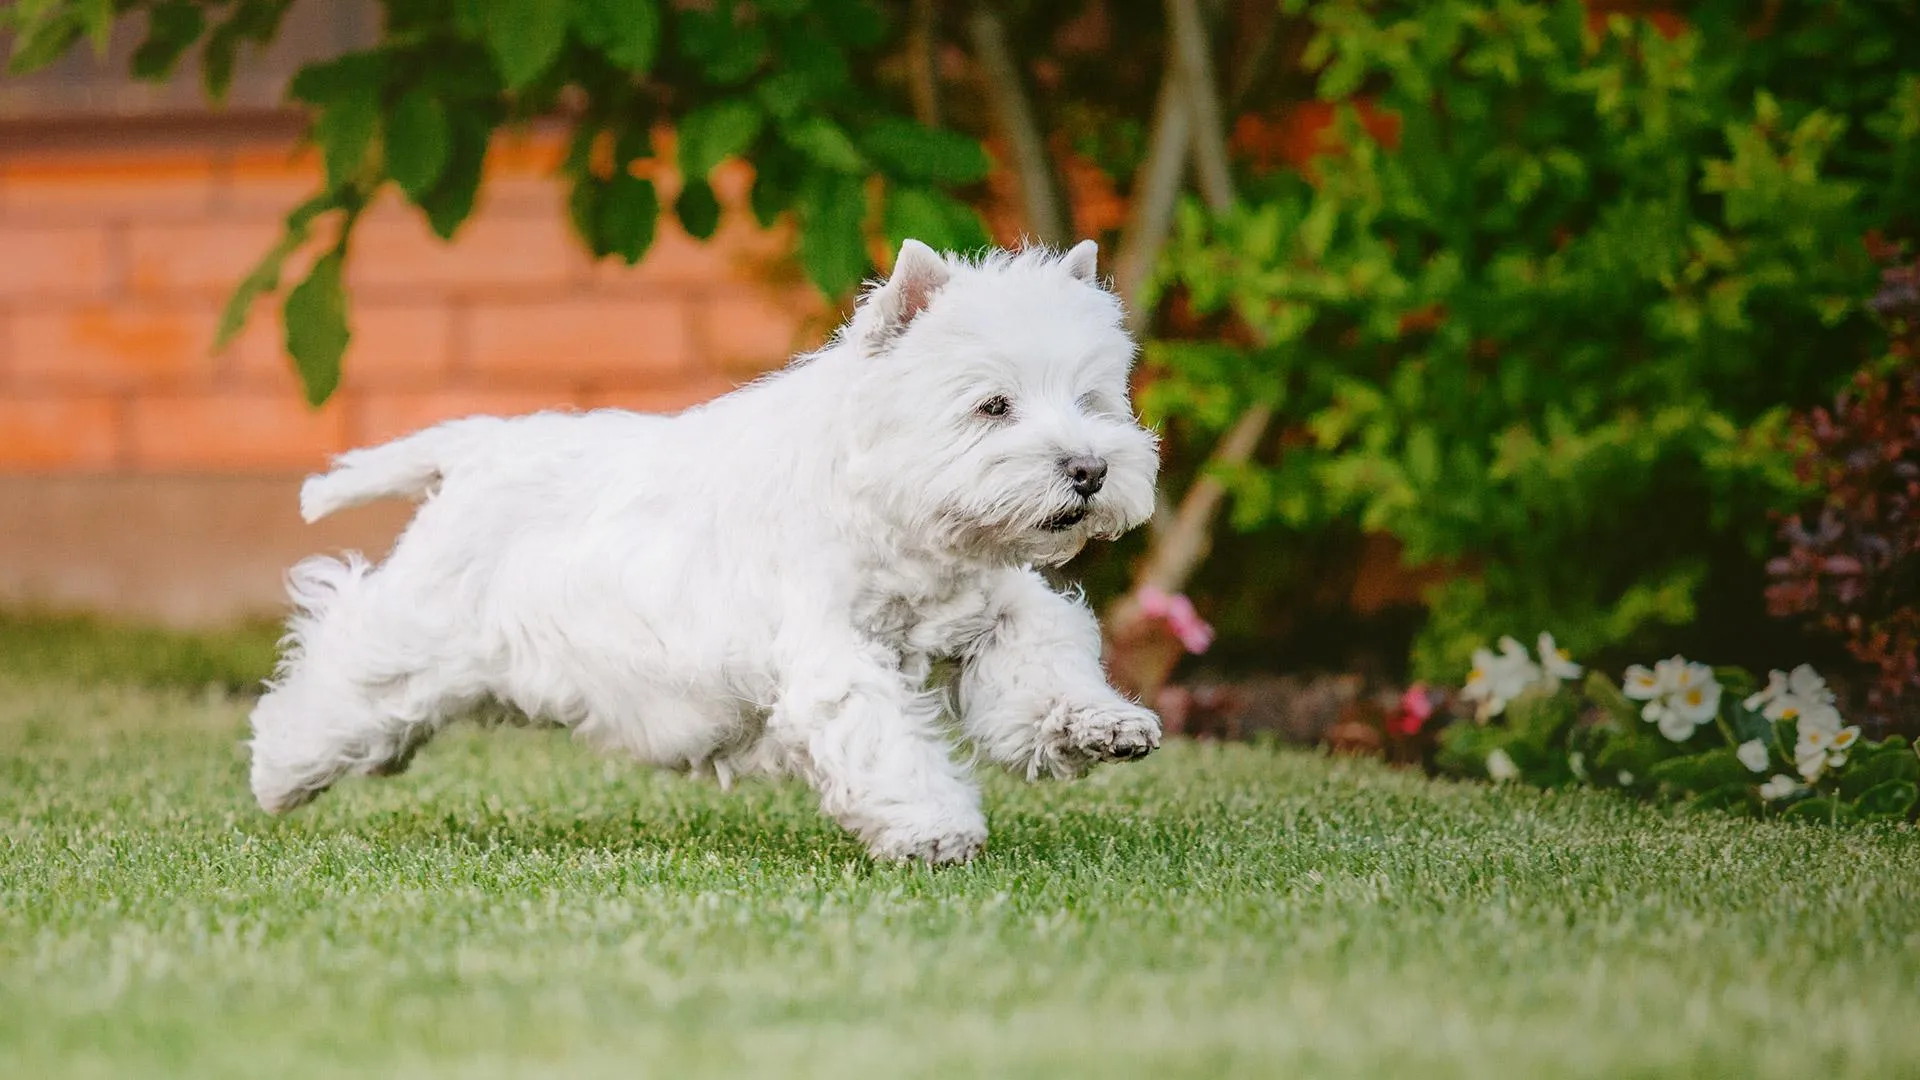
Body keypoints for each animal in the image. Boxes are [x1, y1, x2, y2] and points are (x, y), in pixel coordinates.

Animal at [249, 239, 1159, 860]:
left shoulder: (993, 610)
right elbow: (884, 737)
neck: (896, 516)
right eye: (992, 405)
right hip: (413, 637)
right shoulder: (832, 654)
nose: (1088, 470)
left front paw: (1105, 727)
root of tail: (474, 449)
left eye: (1091, 400)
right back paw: (276, 774)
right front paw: (935, 830)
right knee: (332, 672)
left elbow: (1042, 664)